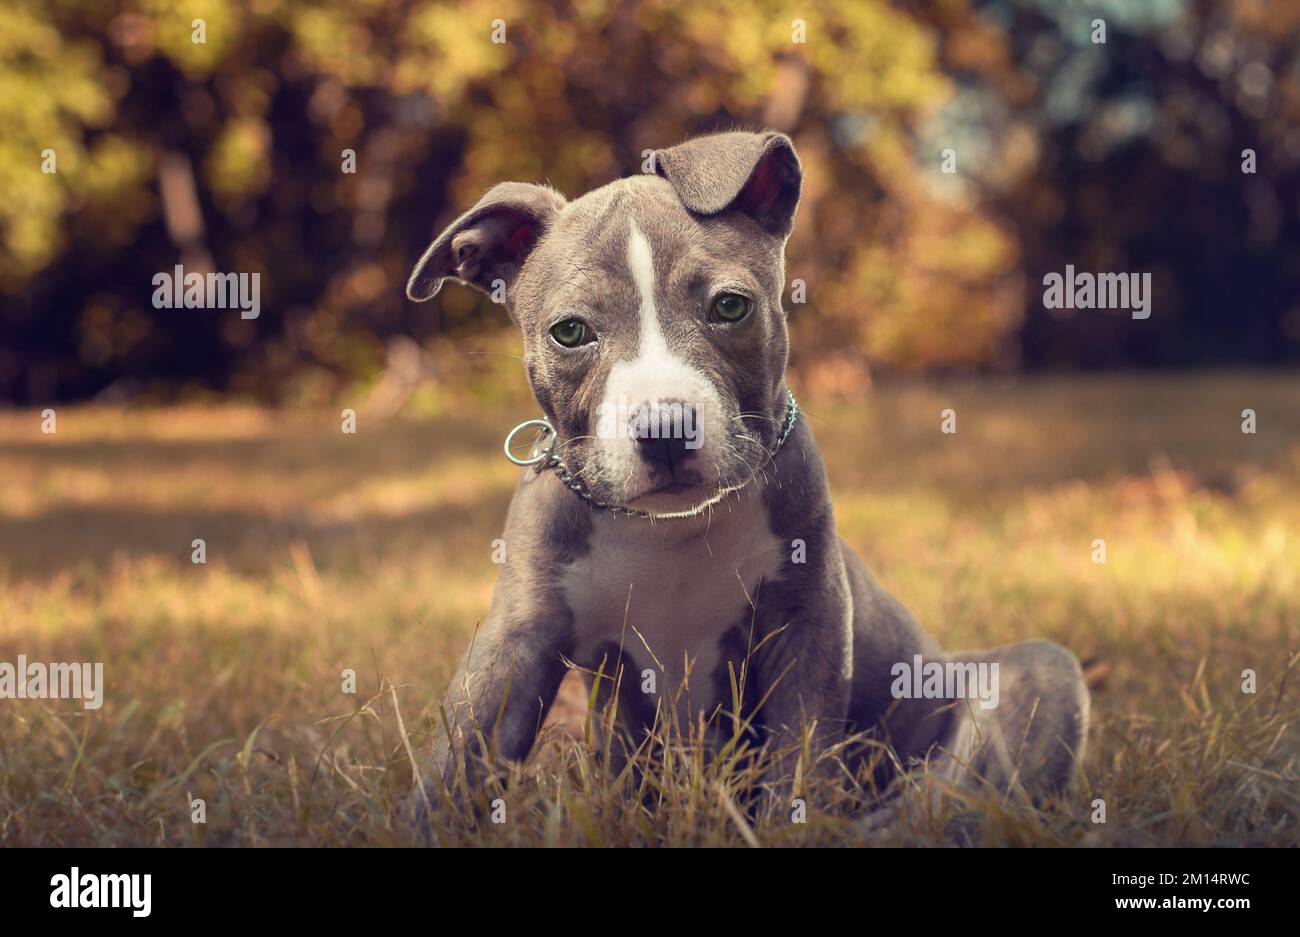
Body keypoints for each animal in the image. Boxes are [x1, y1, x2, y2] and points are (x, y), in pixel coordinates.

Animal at [403, 129, 1086, 810]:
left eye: (730, 307)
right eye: (570, 332)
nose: (666, 430)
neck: (669, 531)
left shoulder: (807, 624)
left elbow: (798, 770)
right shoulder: (520, 640)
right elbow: (455, 765)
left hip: (1037, 672)